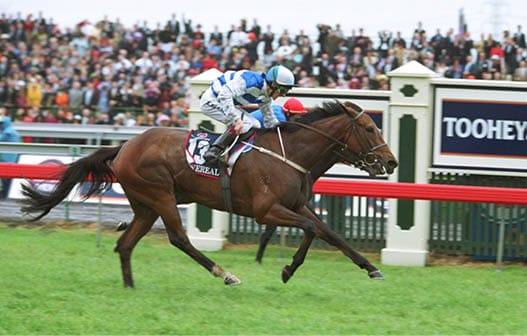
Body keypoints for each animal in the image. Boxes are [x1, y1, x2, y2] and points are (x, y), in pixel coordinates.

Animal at [22, 100, 398, 286]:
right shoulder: (266, 209)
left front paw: (371, 268)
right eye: (369, 128)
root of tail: (125, 146)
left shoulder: (296, 204)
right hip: (160, 195)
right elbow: (308, 230)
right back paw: (225, 274)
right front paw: (288, 270)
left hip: (145, 204)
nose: (391, 161)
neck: (289, 152)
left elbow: (329, 233)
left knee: (125, 245)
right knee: (179, 238)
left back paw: (130, 286)